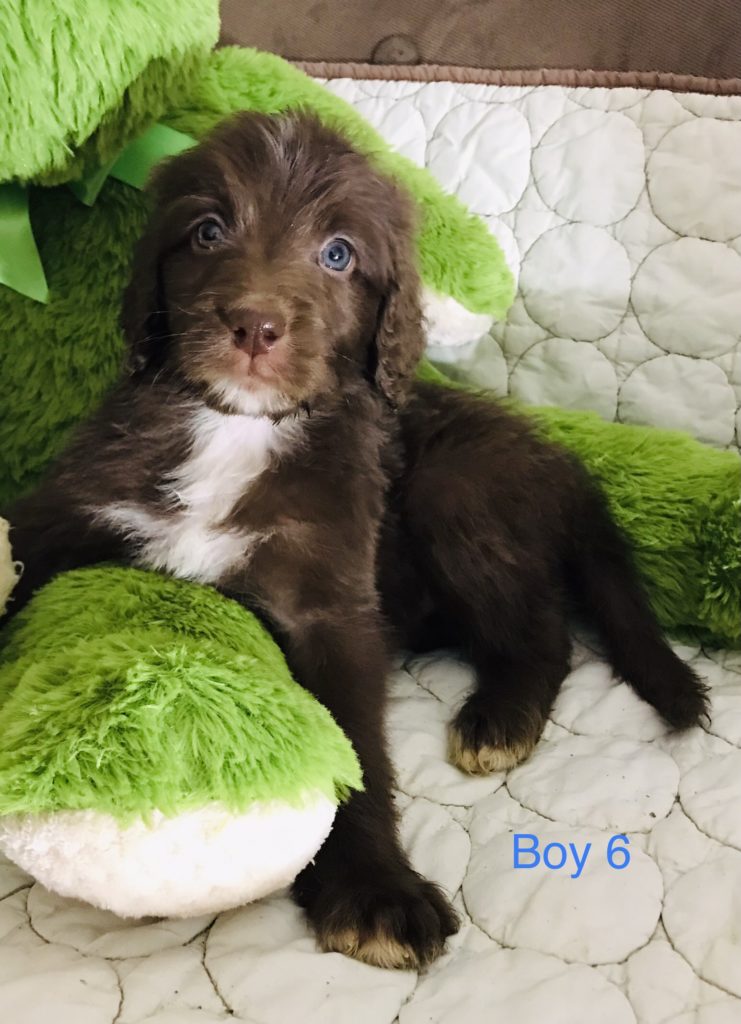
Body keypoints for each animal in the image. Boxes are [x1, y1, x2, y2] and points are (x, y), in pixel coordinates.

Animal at [4, 110, 708, 966]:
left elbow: (356, 747)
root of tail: (563, 463)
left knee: (543, 633)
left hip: (454, 490)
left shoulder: (331, 603)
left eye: (337, 254)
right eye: (207, 231)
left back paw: (499, 719)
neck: (234, 430)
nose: (254, 326)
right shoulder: (63, 517)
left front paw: (374, 890)